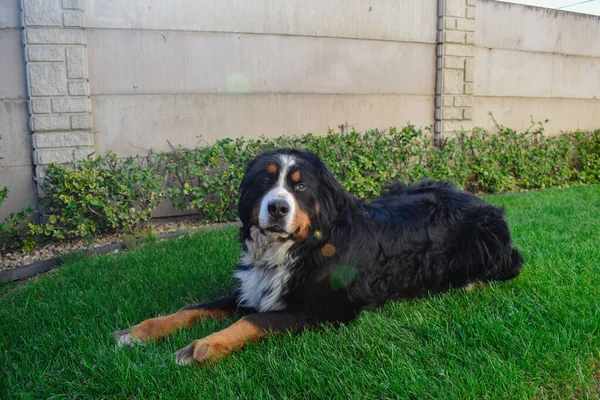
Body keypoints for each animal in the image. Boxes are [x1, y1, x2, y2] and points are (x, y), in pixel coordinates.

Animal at [113, 148, 524, 366]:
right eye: (265, 181)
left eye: (301, 187)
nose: (277, 208)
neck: (297, 248)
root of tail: (474, 197)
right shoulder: (251, 289)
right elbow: (190, 310)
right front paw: (138, 332)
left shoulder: (323, 309)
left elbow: (253, 321)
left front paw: (204, 346)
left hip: (489, 239)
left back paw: (470, 283)